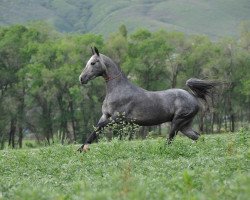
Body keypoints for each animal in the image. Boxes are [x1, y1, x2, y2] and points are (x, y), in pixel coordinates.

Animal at [79, 47, 216, 152]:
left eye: (93, 63)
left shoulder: (117, 118)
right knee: (198, 137)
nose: (81, 78)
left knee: (170, 139)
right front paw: (82, 148)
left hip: (177, 122)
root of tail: (193, 97)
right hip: (184, 125)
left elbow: (99, 127)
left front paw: (84, 149)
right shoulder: (105, 116)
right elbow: (95, 129)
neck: (118, 90)